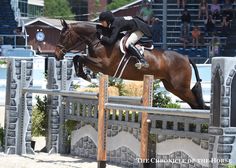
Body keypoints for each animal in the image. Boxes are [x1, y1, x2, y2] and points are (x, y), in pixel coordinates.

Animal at [54, 19, 208, 109]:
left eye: (63, 36)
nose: (56, 55)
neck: (99, 41)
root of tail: (186, 57)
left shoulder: (103, 65)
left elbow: (80, 57)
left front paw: (84, 75)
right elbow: (77, 58)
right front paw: (83, 74)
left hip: (180, 87)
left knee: (196, 103)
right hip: (172, 87)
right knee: (194, 104)